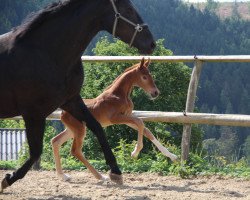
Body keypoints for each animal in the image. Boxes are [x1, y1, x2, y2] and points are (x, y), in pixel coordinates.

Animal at [0, 0, 155, 191]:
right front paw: (8, 178)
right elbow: (36, 151)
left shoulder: (72, 100)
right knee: (70, 148)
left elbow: (101, 127)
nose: (152, 44)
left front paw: (116, 172)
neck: (48, 52)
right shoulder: (34, 112)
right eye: (128, 9)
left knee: (60, 142)